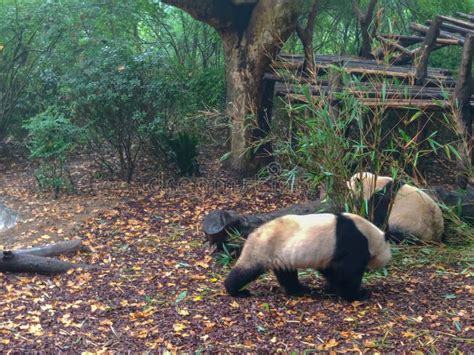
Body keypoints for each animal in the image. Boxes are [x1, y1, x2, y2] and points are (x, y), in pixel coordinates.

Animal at [224, 213, 390, 302]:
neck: (369, 234)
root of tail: (253, 234)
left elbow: (331, 270)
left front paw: (331, 288)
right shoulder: (352, 243)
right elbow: (347, 272)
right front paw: (357, 294)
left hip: (281, 255)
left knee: (287, 274)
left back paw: (300, 290)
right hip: (264, 248)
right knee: (247, 270)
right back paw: (235, 290)